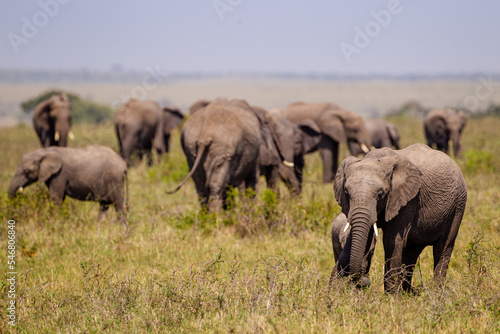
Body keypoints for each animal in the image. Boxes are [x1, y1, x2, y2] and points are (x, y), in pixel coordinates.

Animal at [334, 144, 466, 292]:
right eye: (346, 192)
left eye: (380, 194)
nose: (365, 280)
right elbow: (359, 239)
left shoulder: (408, 200)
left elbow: (392, 241)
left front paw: (390, 296)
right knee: (412, 251)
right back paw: (407, 292)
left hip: (458, 205)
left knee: (443, 247)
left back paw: (437, 292)